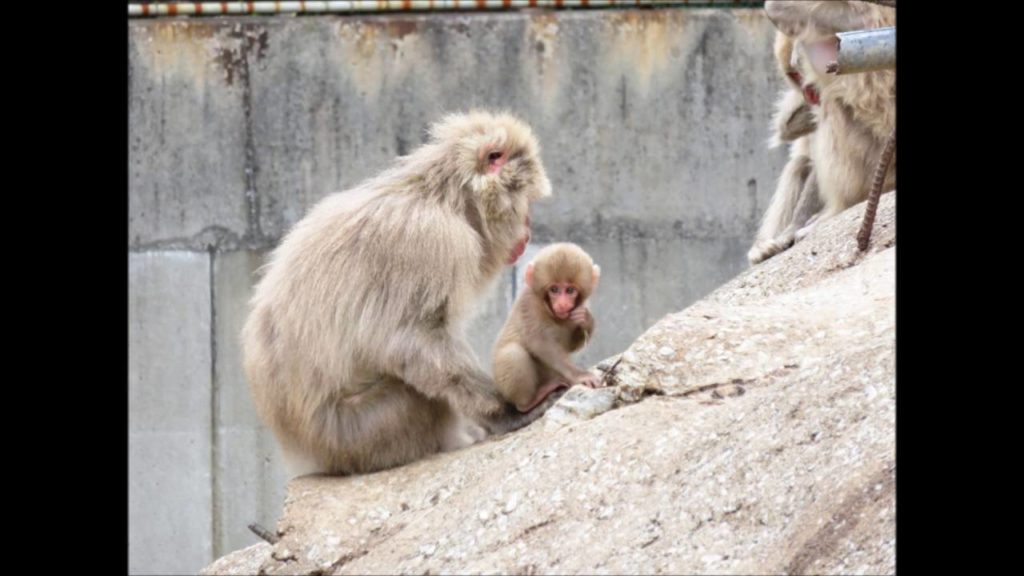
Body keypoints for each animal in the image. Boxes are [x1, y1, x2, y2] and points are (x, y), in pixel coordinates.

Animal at [241, 111, 554, 477]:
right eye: (527, 203)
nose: (528, 229)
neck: (445, 197)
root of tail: (307, 450)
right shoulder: (433, 242)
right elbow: (409, 340)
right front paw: (507, 412)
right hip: (361, 433)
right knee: (419, 395)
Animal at [492, 243, 602, 414]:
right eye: (554, 289)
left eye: (570, 290)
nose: (562, 304)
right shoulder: (529, 303)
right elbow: (541, 343)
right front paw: (580, 375)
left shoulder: (581, 305)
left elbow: (571, 345)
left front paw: (586, 320)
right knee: (513, 352)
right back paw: (529, 402)